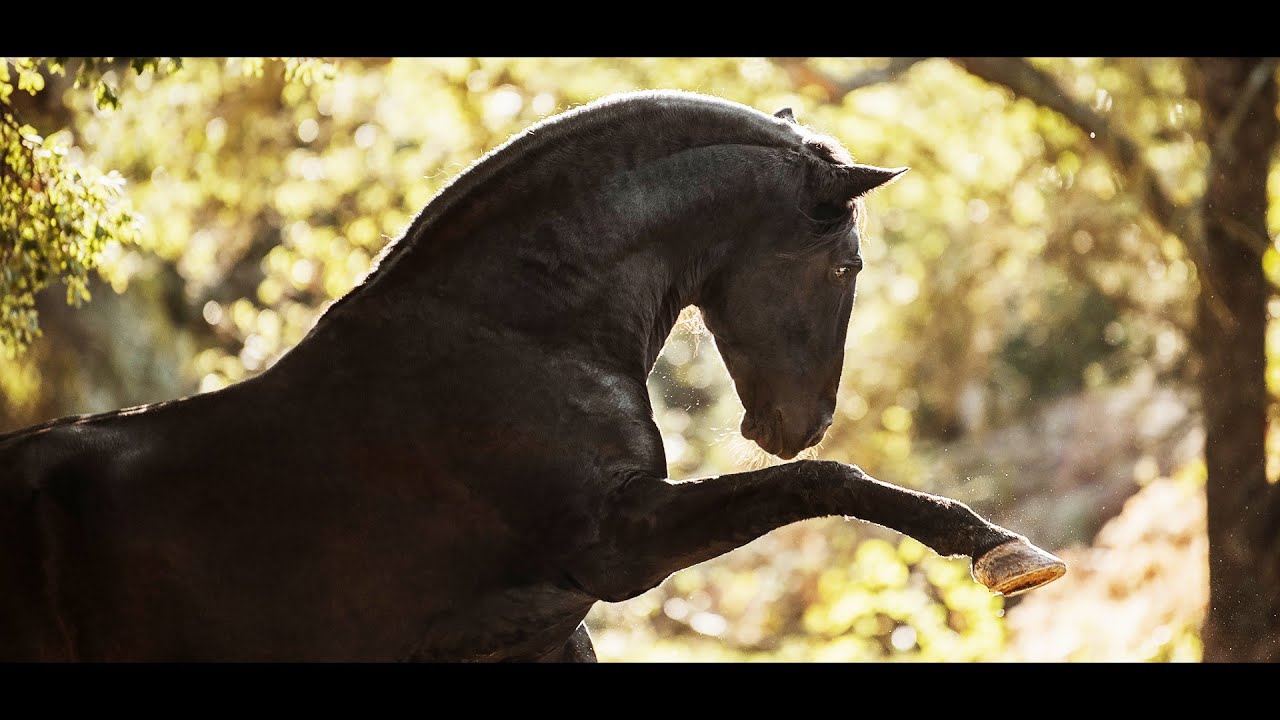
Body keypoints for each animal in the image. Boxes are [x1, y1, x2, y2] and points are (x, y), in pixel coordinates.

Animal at [0, 90, 1064, 661]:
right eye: (846, 267)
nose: (794, 422)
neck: (518, 334)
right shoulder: (620, 546)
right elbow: (824, 485)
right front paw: (1002, 552)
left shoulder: (543, 629)